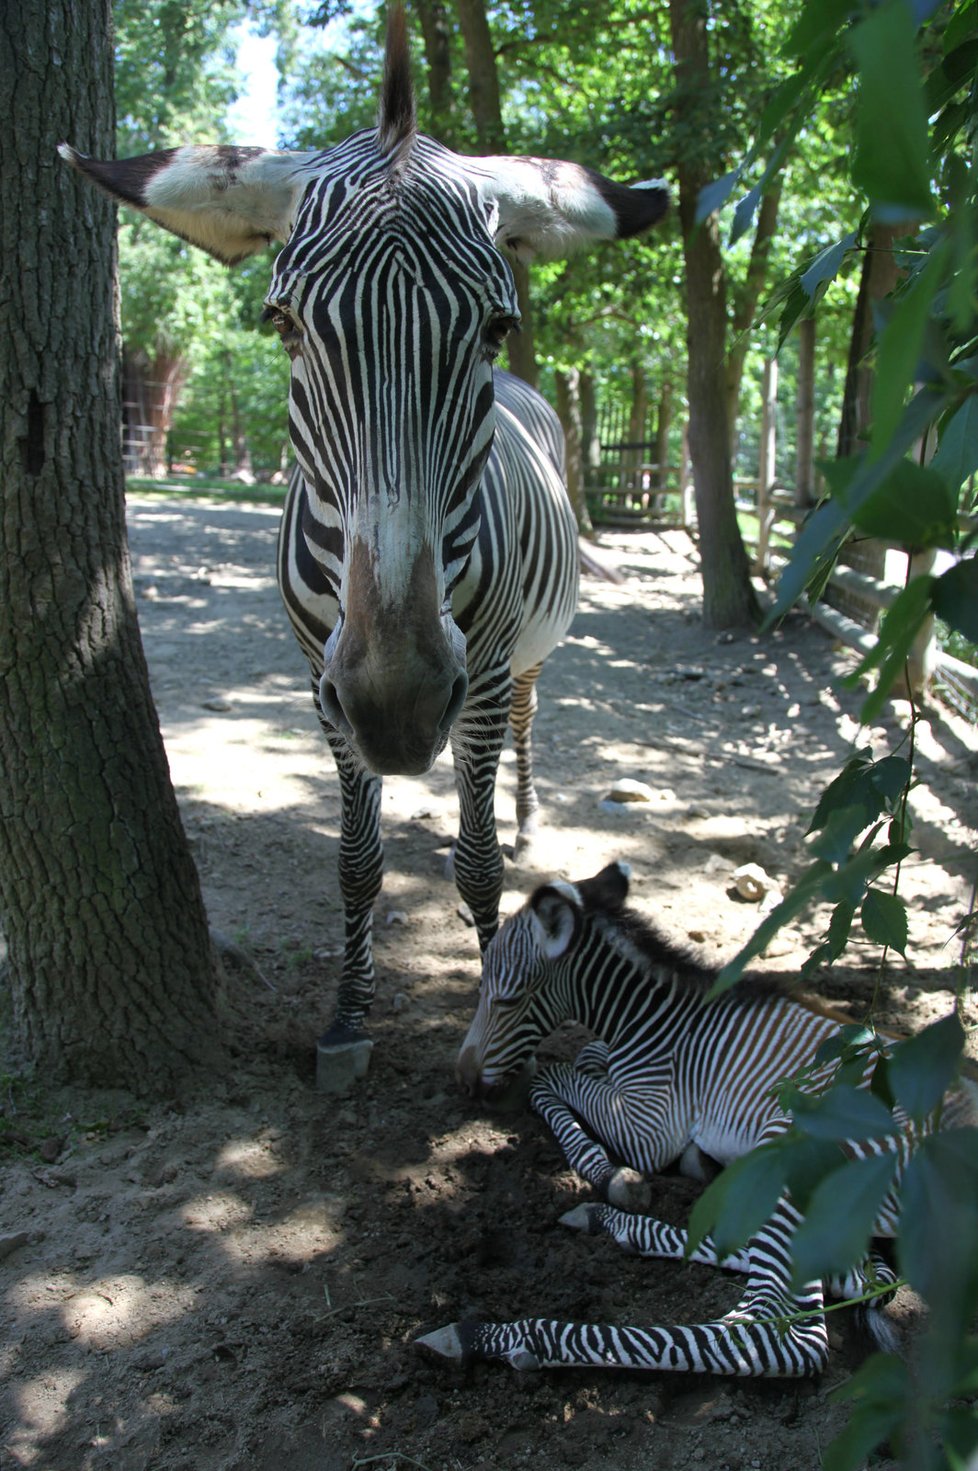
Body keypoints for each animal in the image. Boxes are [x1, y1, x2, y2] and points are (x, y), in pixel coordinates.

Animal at [414, 859, 970, 1376]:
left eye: (506, 998)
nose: (463, 1082)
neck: (653, 1021)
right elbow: (586, 1057)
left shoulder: (649, 1127)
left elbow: (552, 1077)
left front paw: (607, 1172)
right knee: (846, 1274)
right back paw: (612, 1220)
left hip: (795, 1145)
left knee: (779, 1336)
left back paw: (489, 1336)